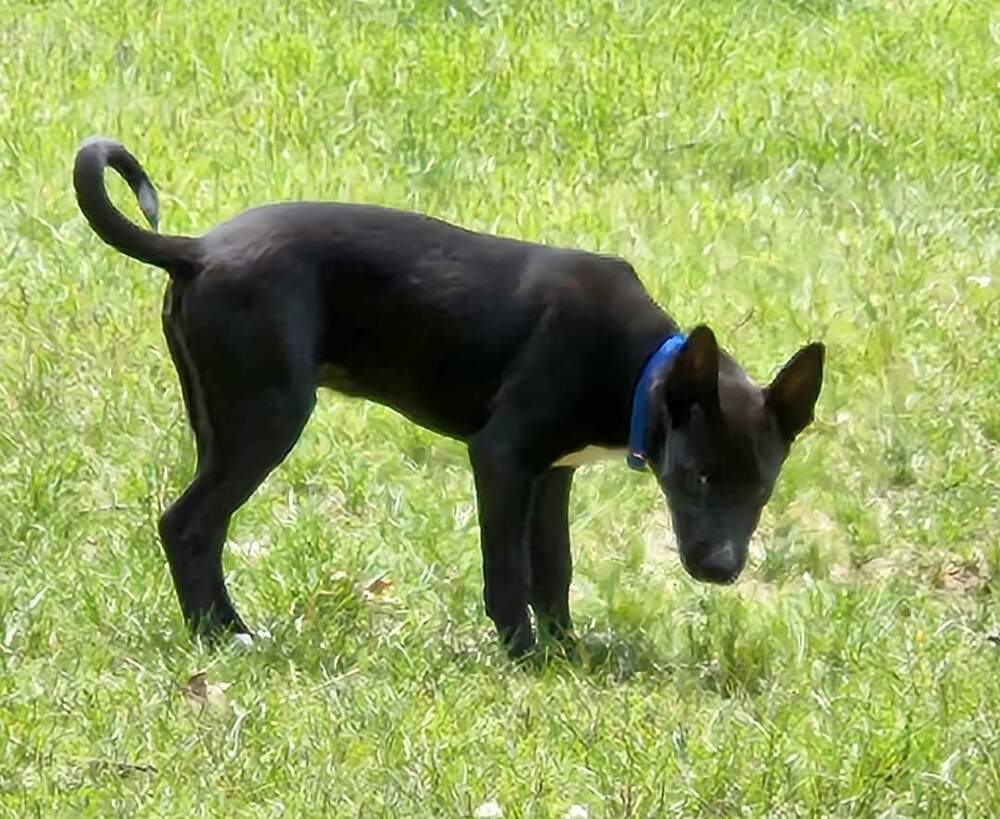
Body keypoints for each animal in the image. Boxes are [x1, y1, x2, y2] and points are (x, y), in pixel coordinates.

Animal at [73, 137, 824, 657]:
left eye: (761, 491)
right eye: (694, 477)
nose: (722, 570)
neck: (641, 368)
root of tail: (194, 249)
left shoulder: (551, 473)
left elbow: (554, 568)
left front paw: (566, 650)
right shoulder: (501, 457)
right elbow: (508, 571)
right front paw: (523, 655)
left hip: (220, 420)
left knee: (201, 526)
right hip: (270, 416)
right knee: (187, 523)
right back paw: (225, 635)